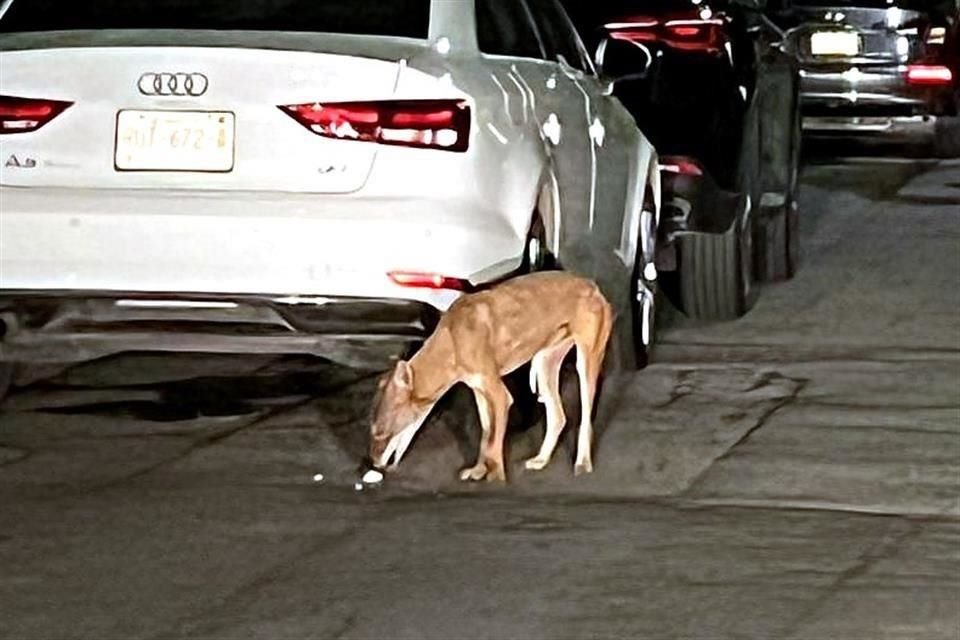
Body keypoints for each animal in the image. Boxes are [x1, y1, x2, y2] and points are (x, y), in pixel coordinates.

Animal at [368, 272, 616, 482]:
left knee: (585, 420)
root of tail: (592, 285)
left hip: (585, 365)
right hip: (545, 364)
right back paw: (541, 460)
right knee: (559, 417)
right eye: (372, 433)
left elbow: (493, 443)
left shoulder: (500, 395)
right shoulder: (480, 391)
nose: (375, 464)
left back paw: (583, 464)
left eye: (381, 434)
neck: (453, 340)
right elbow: (485, 437)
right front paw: (478, 471)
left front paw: (496, 479)